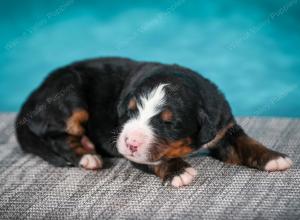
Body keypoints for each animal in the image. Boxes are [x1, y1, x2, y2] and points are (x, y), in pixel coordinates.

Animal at [15, 56, 292, 187]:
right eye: (129, 113)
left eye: (169, 123)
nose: (130, 143)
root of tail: (33, 94)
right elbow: (155, 157)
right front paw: (179, 171)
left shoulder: (224, 128)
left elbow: (246, 143)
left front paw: (274, 157)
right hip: (70, 95)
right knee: (56, 136)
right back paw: (87, 155)